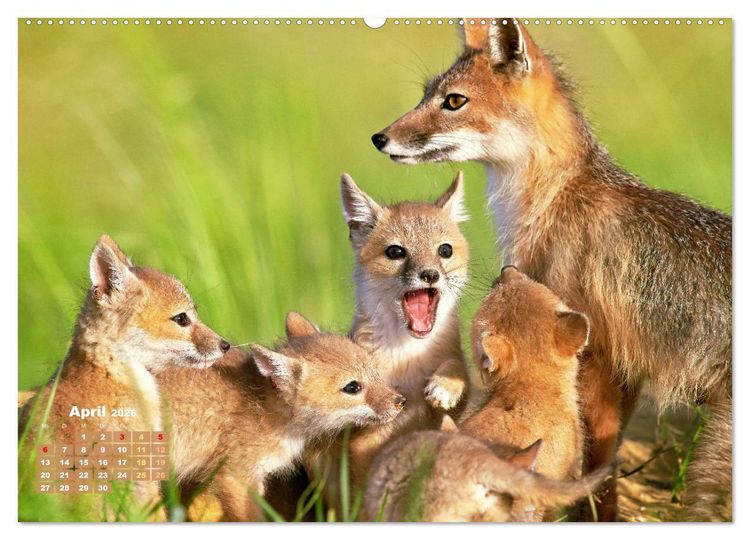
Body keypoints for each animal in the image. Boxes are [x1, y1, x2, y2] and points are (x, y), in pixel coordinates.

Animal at [305, 172, 470, 501]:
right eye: (396, 252)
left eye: (444, 250)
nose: (430, 274)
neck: (408, 357)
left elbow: (457, 368)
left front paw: (444, 386)